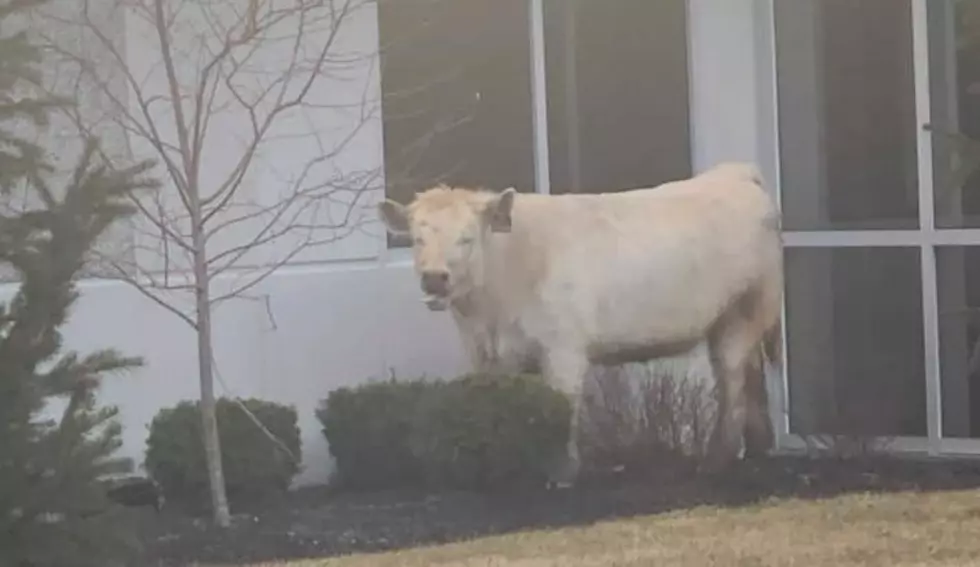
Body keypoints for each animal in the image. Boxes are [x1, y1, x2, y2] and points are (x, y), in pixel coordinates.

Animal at [376, 162, 780, 490]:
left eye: (466, 238)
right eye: (417, 239)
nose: (434, 278)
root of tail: (734, 172)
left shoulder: (563, 350)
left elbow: (563, 408)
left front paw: (562, 475)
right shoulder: (486, 356)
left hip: (743, 310)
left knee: (731, 381)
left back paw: (716, 461)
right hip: (727, 320)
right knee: (749, 375)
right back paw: (758, 448)